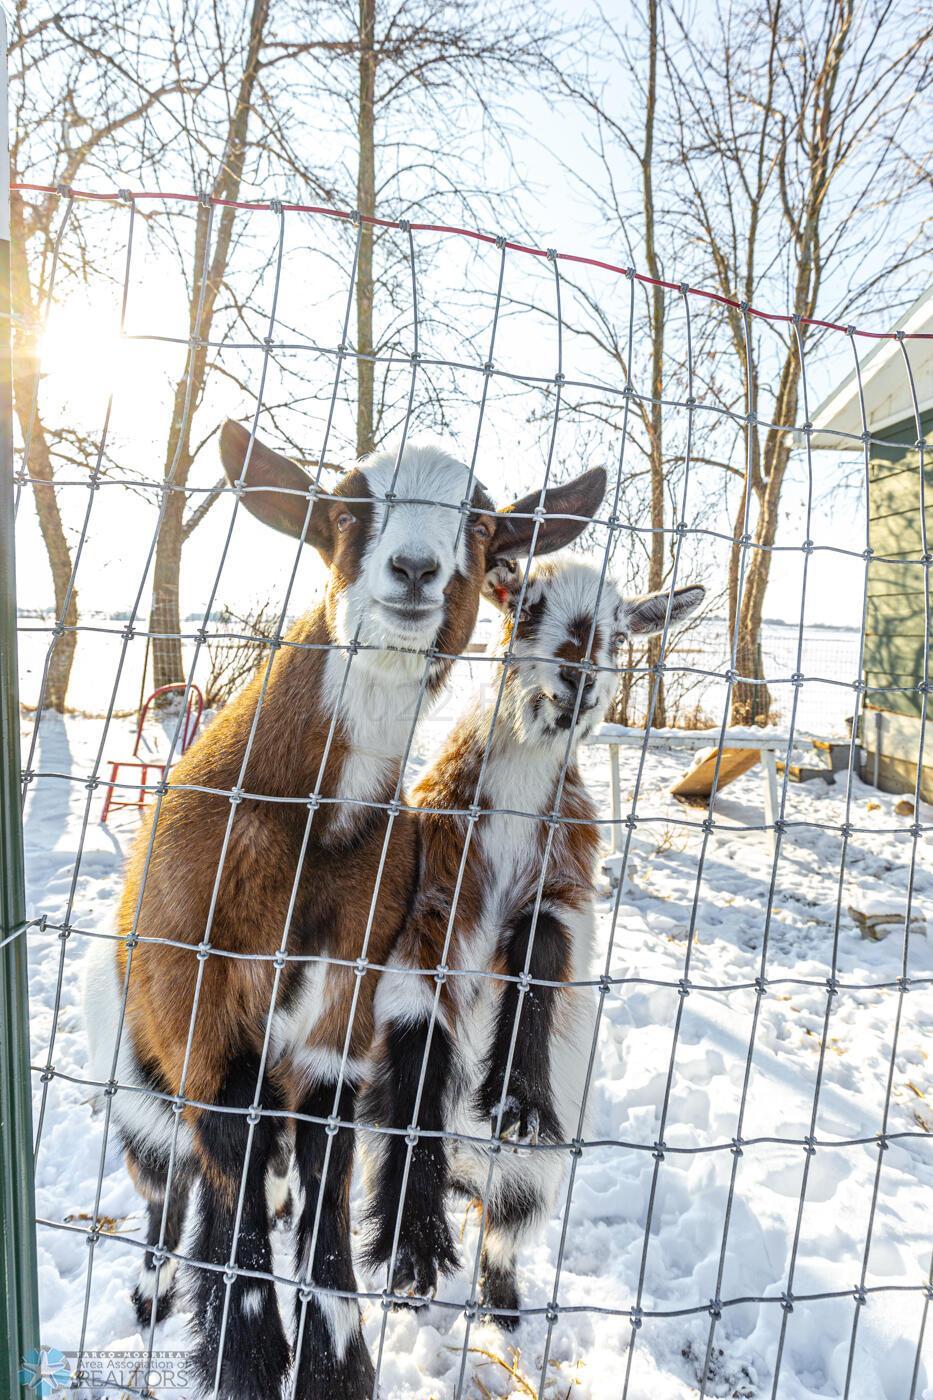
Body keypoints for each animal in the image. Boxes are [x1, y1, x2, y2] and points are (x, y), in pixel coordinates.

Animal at [82, 421, 606, 1400]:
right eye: (341, 512)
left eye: (484, 525)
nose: (414, 569)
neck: (308, 829)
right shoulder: (193, 998)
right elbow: (232, 1159)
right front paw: (246, 1358)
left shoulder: (345, 999)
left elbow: (323, 1174)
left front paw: (334, 1362)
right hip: (136, 1075)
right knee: (169, 1184)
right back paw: (154, 1294)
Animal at [361, 555, 704, 1326]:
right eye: (525, 607)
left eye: (617, 633)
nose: (579, 676)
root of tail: (469, 1174)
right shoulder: (430, 911)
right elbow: (418, 1042)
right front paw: (412, 1251)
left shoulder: (564, 891)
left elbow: (541, 959)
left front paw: (518, 1103)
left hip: (534, 1183)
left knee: (502, 1236)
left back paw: (505, 1310)